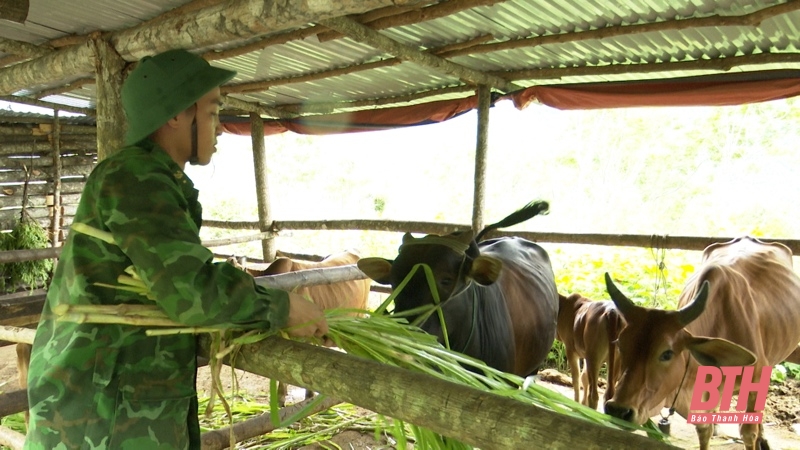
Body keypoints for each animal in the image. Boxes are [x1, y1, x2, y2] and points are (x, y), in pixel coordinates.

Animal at [608, 236, 800, 450]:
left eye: (667, 353)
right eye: (620, 345)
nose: (618, 410)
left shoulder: (756, 379)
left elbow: (748, 433)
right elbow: (704, 430)